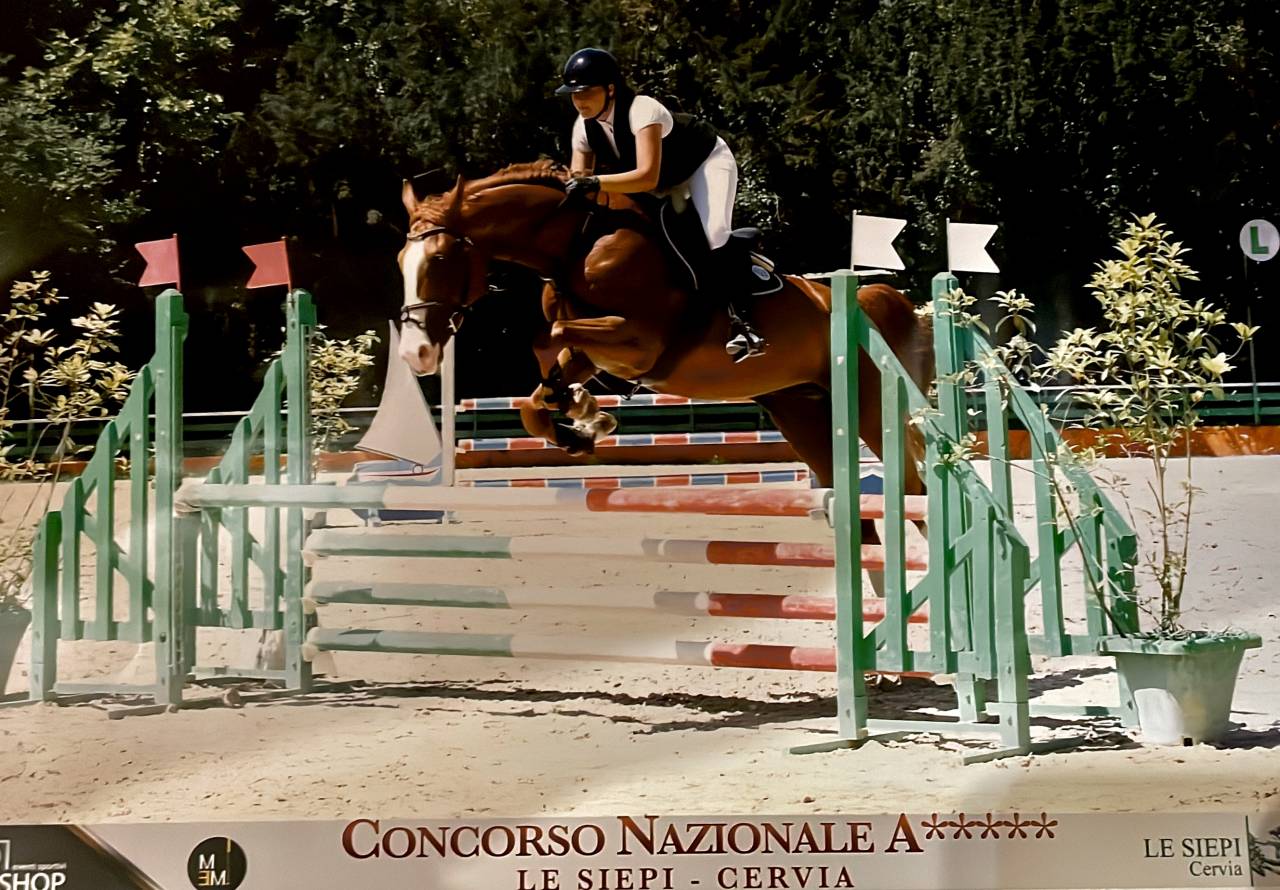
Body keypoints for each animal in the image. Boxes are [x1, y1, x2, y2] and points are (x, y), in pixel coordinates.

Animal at [396, 161, 933, 547]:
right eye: (402, 261)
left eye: (440, 259)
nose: (416, 353)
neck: (576, 247)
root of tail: (868, 298)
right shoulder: (598, 350)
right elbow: (536, 393)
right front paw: (582, 423)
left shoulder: (641, 341)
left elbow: (552, 334)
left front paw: (585, 412)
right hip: (802, 411)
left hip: (868, 407)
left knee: (916, 494)